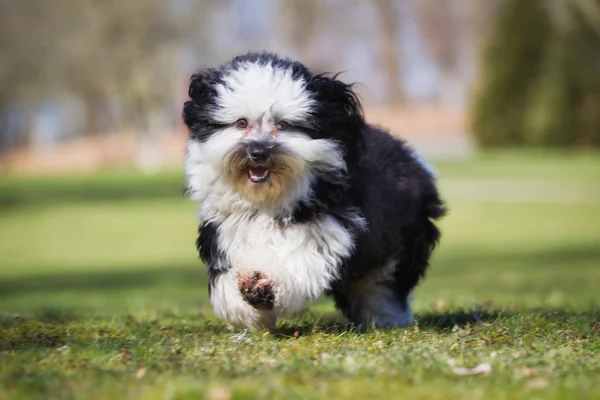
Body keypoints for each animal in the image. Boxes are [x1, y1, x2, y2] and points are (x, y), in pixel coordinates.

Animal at [183, 50, 446, 332]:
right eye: (241, 123)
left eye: (283, 125)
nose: (258, 152)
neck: (268, 202)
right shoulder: (224, 235)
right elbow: (227, 285)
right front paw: (249, 296)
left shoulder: (330, 232)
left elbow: (300, 262)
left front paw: (269, 284)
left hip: (403, 245)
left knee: (384, 285)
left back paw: (387, 319)